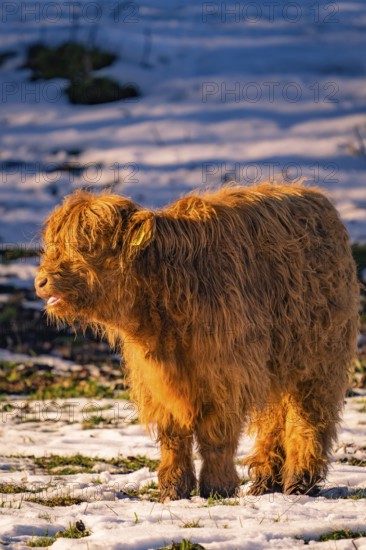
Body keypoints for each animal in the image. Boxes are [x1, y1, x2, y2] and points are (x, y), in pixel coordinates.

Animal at [35, 184, 358, 500]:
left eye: (86, 247)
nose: (41, 280)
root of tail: (315, 196)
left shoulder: (225, 374)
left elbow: (216, 435)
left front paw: (217, 486)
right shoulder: (155, 381)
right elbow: (173, 436)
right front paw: (173, 488)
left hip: (319, 358)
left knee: (309, 417)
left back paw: (299, 480)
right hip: (278, 360)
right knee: (274, 415)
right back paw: (267, 480)